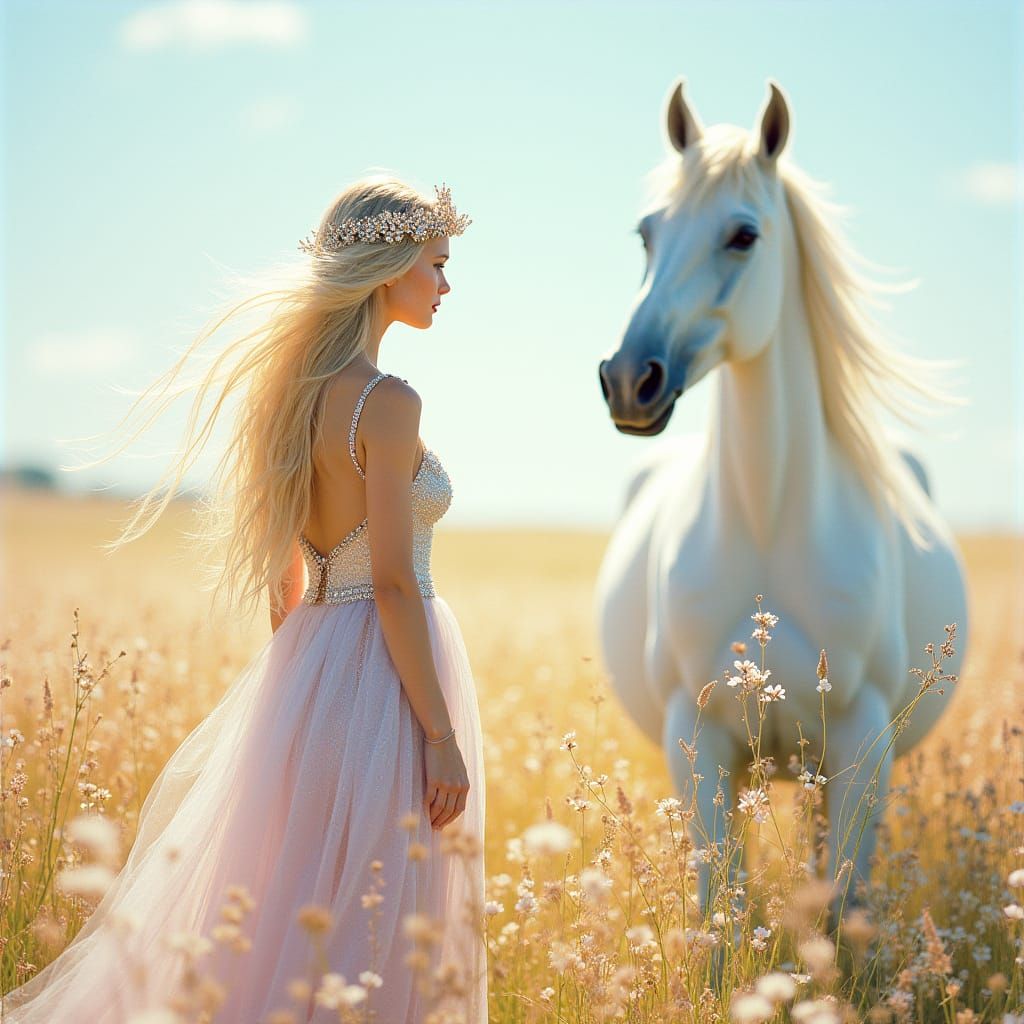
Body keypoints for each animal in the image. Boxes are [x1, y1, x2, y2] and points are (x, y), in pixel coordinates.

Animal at [595, 76, 969, 917]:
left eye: (743, 236)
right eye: (645, 234)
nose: (630, 380)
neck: (766, 524)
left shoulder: (863, 742)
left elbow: (841, 904)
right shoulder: (697, 738)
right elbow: (720, 907)